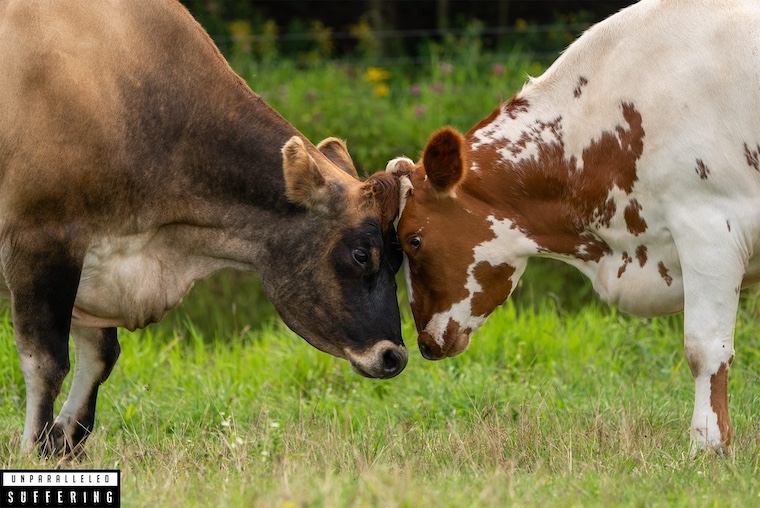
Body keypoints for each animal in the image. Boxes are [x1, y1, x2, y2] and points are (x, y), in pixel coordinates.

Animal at [0, 0, 407, 457]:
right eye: (361, 254)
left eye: (399, 256)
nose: (395, 356)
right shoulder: (42, 239)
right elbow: (47, 362)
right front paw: (35, 446)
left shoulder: (98, 262)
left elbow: (100, 355)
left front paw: (66, 441)